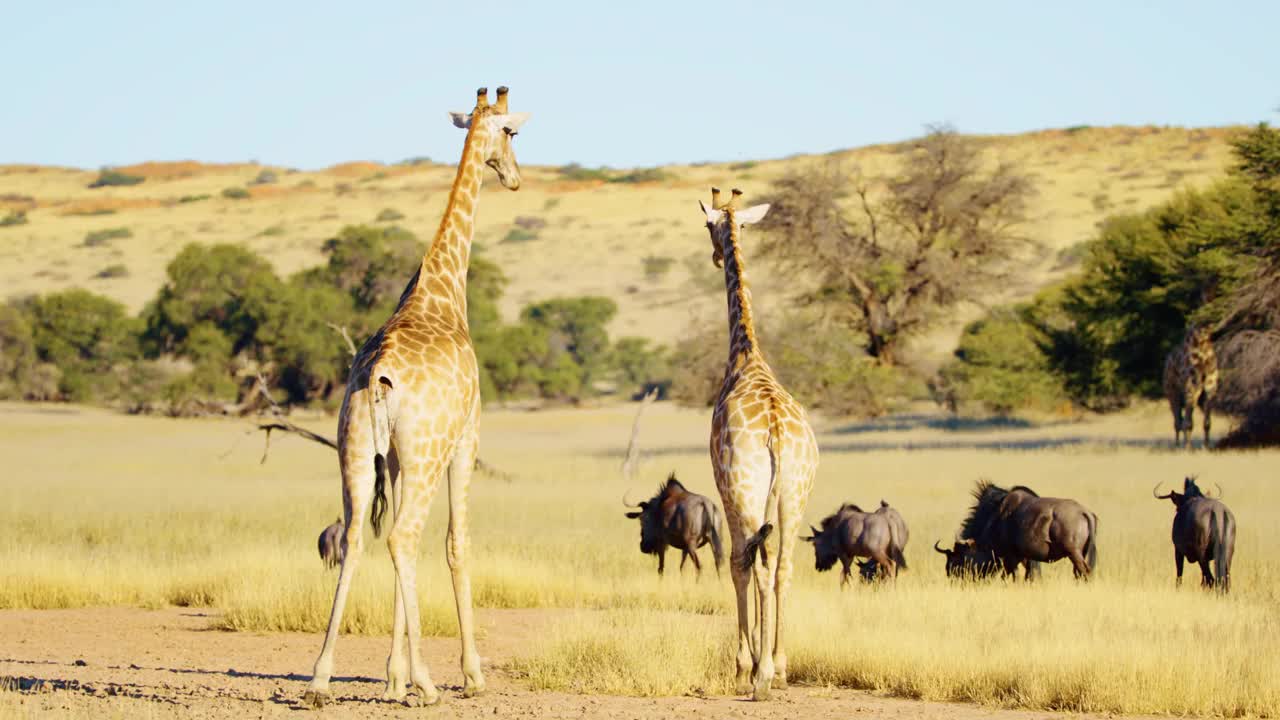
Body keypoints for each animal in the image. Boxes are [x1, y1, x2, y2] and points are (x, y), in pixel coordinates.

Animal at [303, 85, 529, 707]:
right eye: (513, 133)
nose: (514, 177)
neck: (442, 289)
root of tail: (379, 374)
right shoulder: (464, 440)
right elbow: (454, 543)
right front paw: (466, 674)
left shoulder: (399, 459)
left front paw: (392, 676)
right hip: (427, 454)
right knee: (403, 537)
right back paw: (431, 683)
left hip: (356, 450)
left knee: (359, 537)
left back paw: (320, 678)